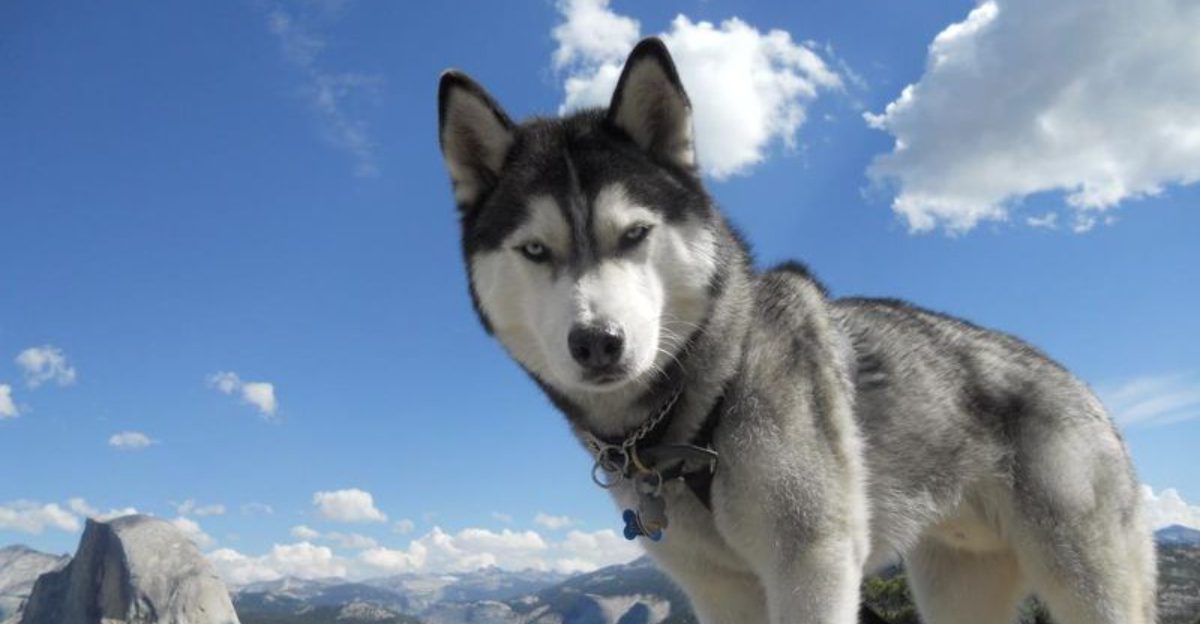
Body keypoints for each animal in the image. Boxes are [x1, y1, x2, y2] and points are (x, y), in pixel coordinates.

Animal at [436, 37, 1157, 624]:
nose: (598, 343)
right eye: (535, 250)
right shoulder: (720, 589)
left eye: (635, 233)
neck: (703, 399)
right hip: (954, 586)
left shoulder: (812, 564)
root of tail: (1082, 389)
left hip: (1084, 579)